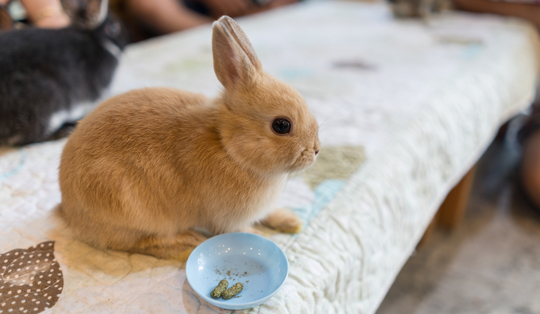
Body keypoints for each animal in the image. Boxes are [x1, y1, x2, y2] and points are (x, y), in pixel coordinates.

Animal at [58, 15, 320, 260]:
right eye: (282, 125)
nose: (316, 150)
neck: (227, 146)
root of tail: (69, 212)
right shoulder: (227, 219)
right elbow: (240, 231)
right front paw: (266, 239)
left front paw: (291, 221)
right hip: (126, 206)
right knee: (139, 243)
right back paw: (186, 242)